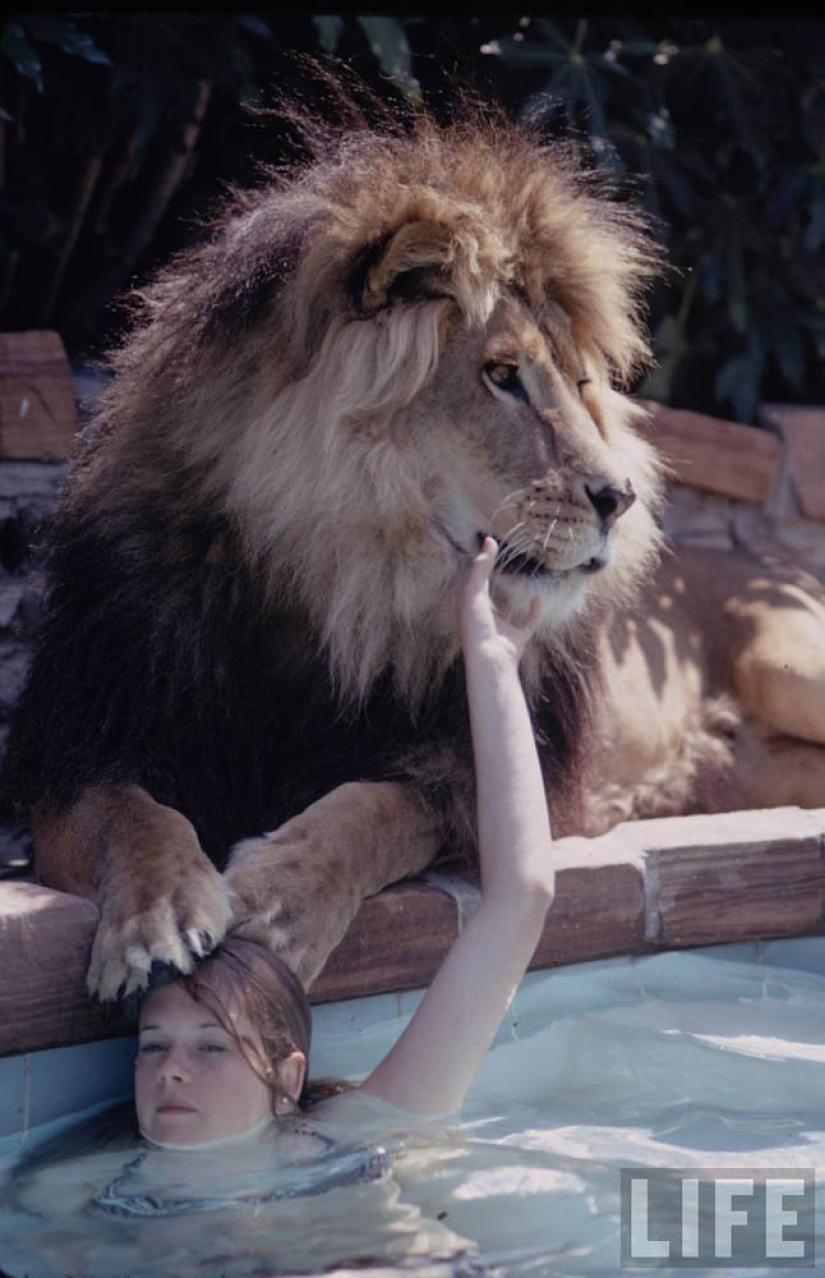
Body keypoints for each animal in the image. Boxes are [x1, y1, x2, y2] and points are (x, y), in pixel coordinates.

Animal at [4, 88, 824, 1000]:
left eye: (580, 385)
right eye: (501, 376)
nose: (621, 498)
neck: (333, 581)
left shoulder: (469, 778)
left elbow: (373, 809)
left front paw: (279, 898)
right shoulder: (80, 740)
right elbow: (125, 814)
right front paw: (158, 918)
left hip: (789, 664)